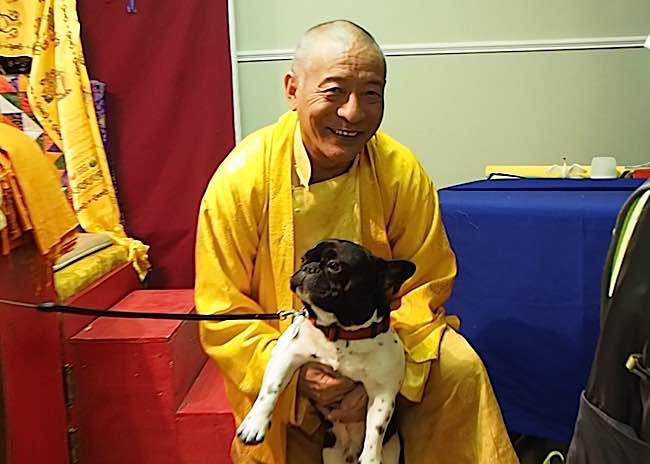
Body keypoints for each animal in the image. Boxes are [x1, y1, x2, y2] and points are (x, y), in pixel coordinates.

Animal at [238, 241, 416, 462]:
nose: (308, 268)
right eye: (304, 259)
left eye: (334, 266)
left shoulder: (383, 392)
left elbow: (376, 430)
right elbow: (271, 388)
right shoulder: (286, 354)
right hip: (331, 452)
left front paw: (370, 459)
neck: (340, 332)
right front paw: (255, 424)